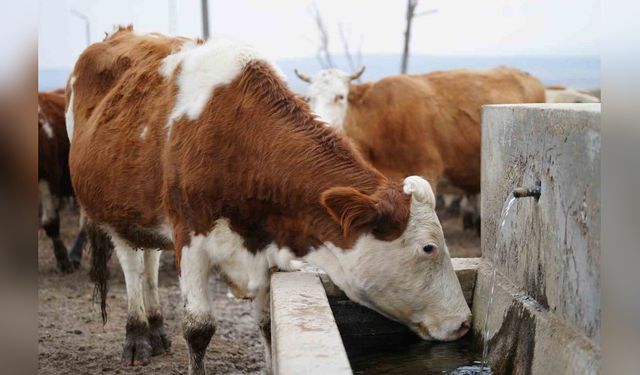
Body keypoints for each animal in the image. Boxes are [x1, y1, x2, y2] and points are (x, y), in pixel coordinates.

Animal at [67, 26, 472, 374]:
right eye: (429, 248)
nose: (465, 323)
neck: (237, 138)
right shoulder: (191, 238)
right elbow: (198, 328)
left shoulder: (269, 244)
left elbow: (267, 324)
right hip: (112, 209)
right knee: (132, 265)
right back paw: (137, 336)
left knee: (149, 259)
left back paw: (156, 330)